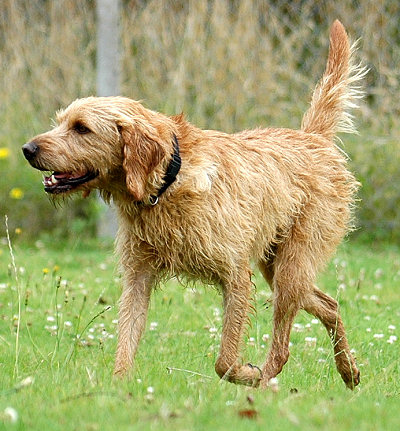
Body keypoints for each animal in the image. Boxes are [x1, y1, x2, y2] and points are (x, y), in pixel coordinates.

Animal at [23, 20, 364, 390]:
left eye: (82, 128)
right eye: (60, 121)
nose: (28, 149)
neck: (165, 184)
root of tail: (314, 138)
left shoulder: (236, 277)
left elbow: (224, 361)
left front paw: (246, 373)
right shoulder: (138, 277)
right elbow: (126, 341)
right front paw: (118, 388)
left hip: (291, 268)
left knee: (283, 345)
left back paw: (264, 382)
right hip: (277, 267)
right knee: (329, 304)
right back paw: (348, 372)